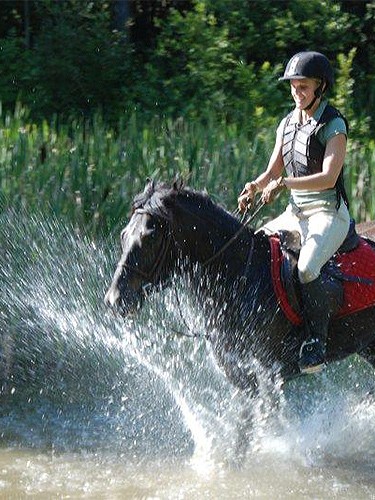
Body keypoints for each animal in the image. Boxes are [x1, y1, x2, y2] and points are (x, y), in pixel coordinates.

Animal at [105, 181, 375, 394]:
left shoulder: (268, 373)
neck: (238, 277)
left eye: (150, 237)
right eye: (123, 234)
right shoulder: (239, 376)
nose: (114, 299)